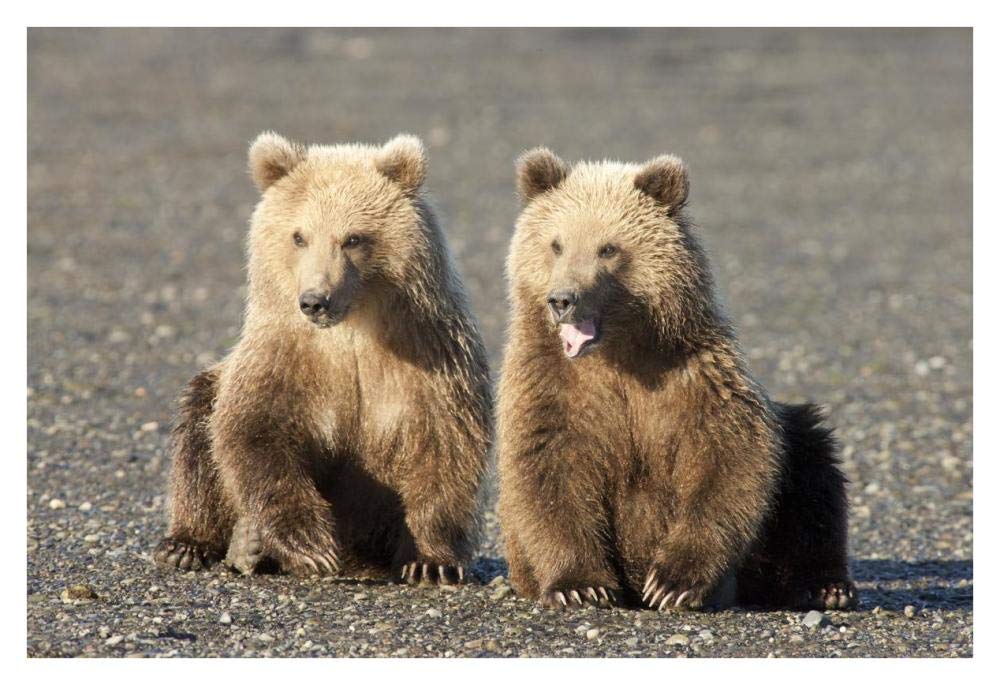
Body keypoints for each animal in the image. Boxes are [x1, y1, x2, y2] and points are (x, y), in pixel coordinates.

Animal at [153, 132, 493, 585]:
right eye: (299, 236)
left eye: (353, 238)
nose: (315, 300)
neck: (352, 329)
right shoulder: (284, 354)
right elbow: (255, 431)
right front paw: (310, 544)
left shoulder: (431, 353)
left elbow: (445, 444)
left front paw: (431, 561)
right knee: (197, 429)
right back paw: (202, 545)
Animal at [497, 148, 856, 611]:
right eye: (556, 243)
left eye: (608, 248)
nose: (562, 299)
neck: (619, 353)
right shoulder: (551, 384)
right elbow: (547, 470)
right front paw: (581, 585)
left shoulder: (693, 375)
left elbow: (729, 459)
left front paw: (672, 582)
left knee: (813, 469)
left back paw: (826, 586)